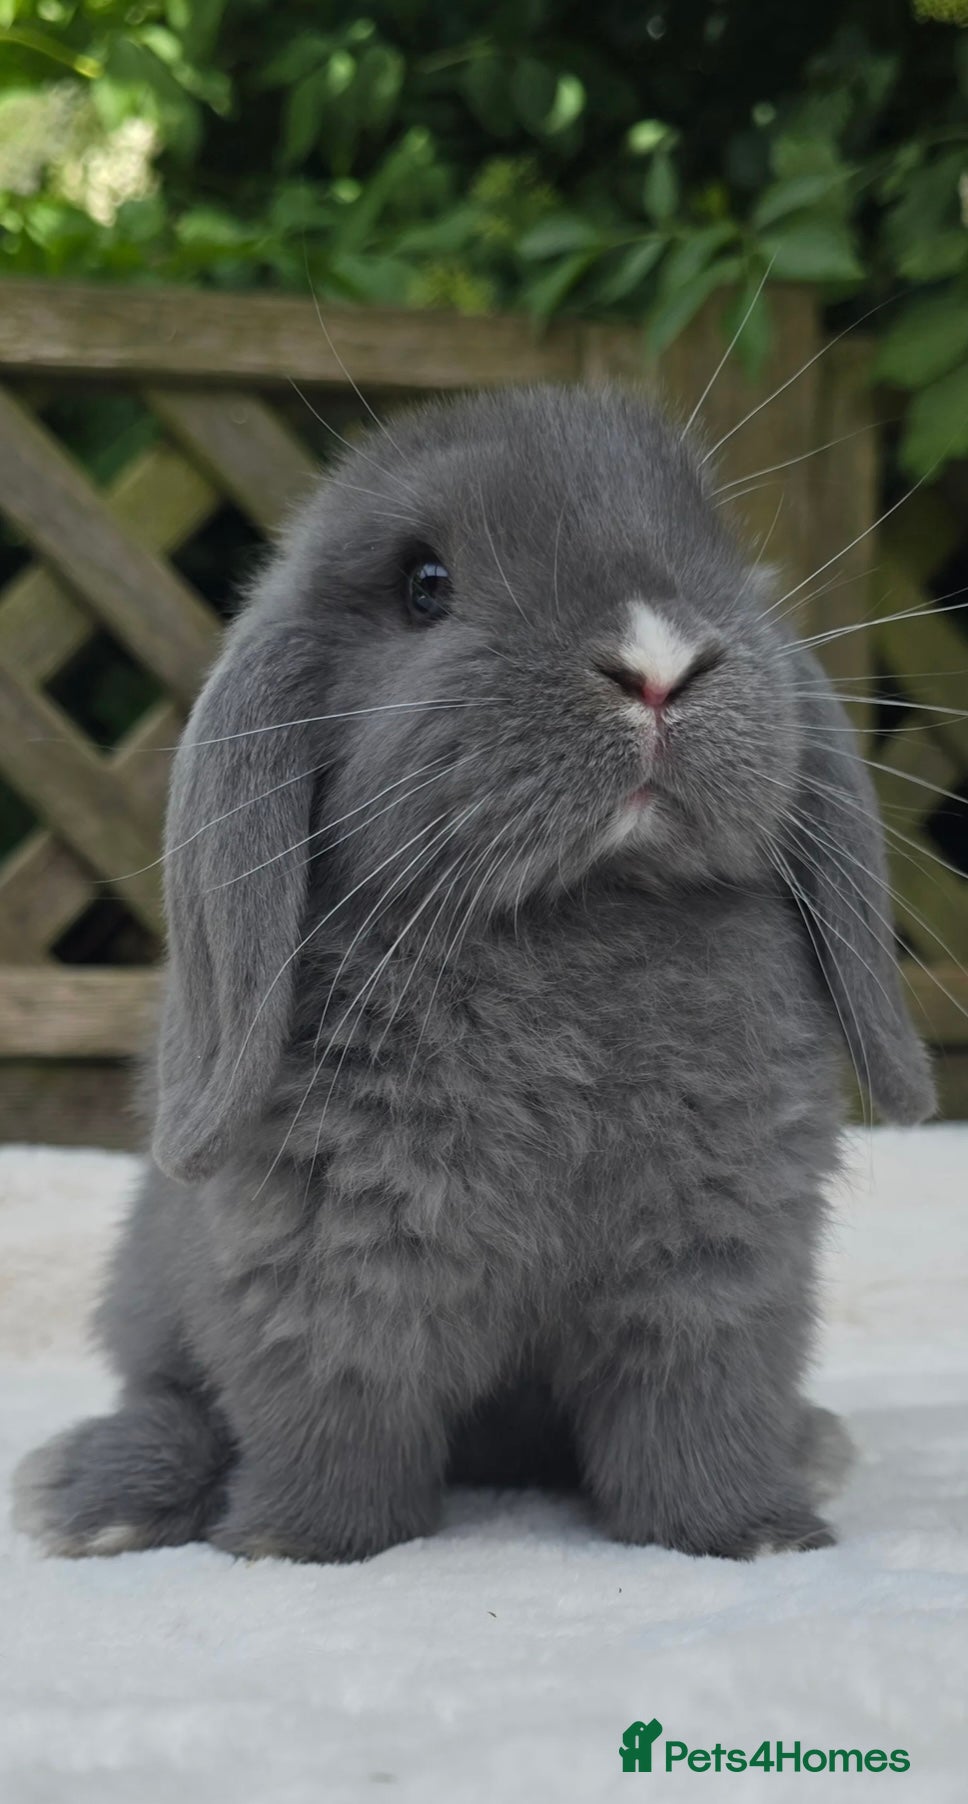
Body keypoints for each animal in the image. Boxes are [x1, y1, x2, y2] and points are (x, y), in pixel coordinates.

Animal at [14, 383, 933, 1565]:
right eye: (426, 586)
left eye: (713, 552)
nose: (656, 664)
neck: (576, 915)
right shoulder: (329, 1276)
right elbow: (335, 1421)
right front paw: (298, 1548)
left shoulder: (714, 1271)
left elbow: (694, 1417)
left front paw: (752, 1536)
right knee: (171, 1400)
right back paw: (100, 1500)